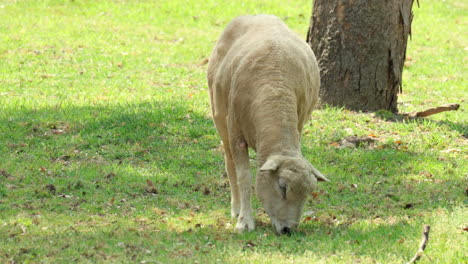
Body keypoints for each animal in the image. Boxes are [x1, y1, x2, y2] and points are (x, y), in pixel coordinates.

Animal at [207, 14, 328, 234]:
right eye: (282, 186)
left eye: (308, 193)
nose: (288, 230)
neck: (275, 88)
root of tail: (255, 15)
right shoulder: (235, 131)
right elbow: (244, 177)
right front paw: (245, 221)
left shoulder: (298, 123)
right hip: (219, 117)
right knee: (229, 165)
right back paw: (235, 208)